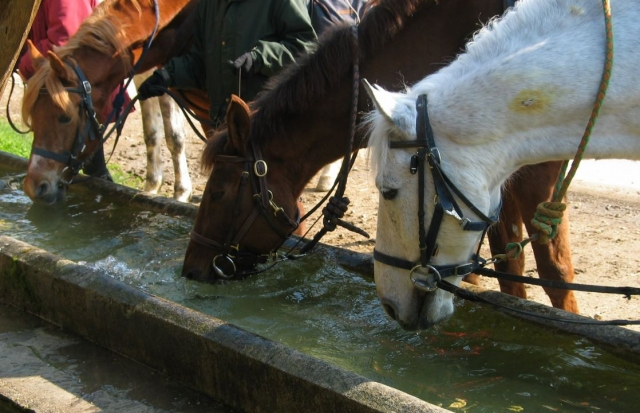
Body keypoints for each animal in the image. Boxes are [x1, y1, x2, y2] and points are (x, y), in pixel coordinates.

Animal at [20, 0, 207, 204]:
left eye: (64, 118)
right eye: (33, 114)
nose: (33, 187)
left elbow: (176, 137)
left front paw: (181, 193)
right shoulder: (148, 79)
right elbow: (152, 133)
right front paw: (152, 187)